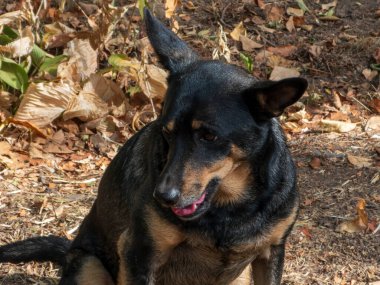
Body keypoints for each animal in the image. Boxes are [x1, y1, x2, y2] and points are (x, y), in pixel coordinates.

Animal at [0, 8, 308, 284]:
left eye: (209, 136)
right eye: (167, 132)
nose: (163, 196)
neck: (229, 208)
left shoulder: (271, 252)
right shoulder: (139, 252)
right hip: (89, 266)